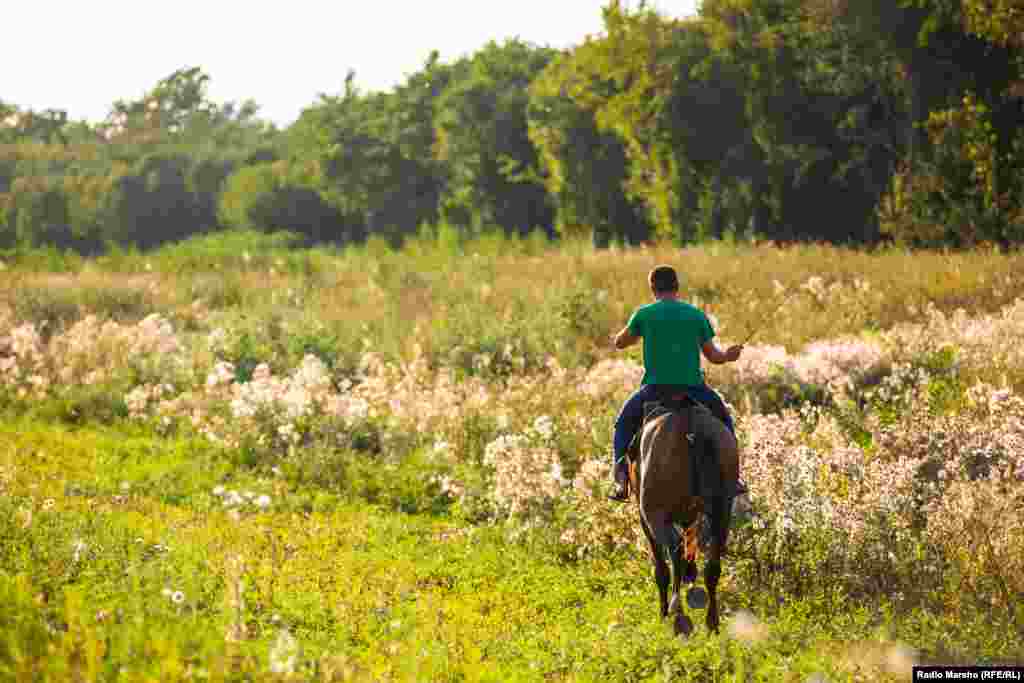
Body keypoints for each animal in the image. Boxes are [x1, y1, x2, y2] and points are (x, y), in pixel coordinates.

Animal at [626, 395, 741, 634]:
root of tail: (690, 427)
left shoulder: (645, 518)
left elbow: (661, 567)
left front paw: (663, 613)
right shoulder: (691, 514)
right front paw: (691, 574)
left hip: (654, 515)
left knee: (674, 551)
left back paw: (677, 612)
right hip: (722, 511)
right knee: (712, 566)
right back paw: (711, 622)